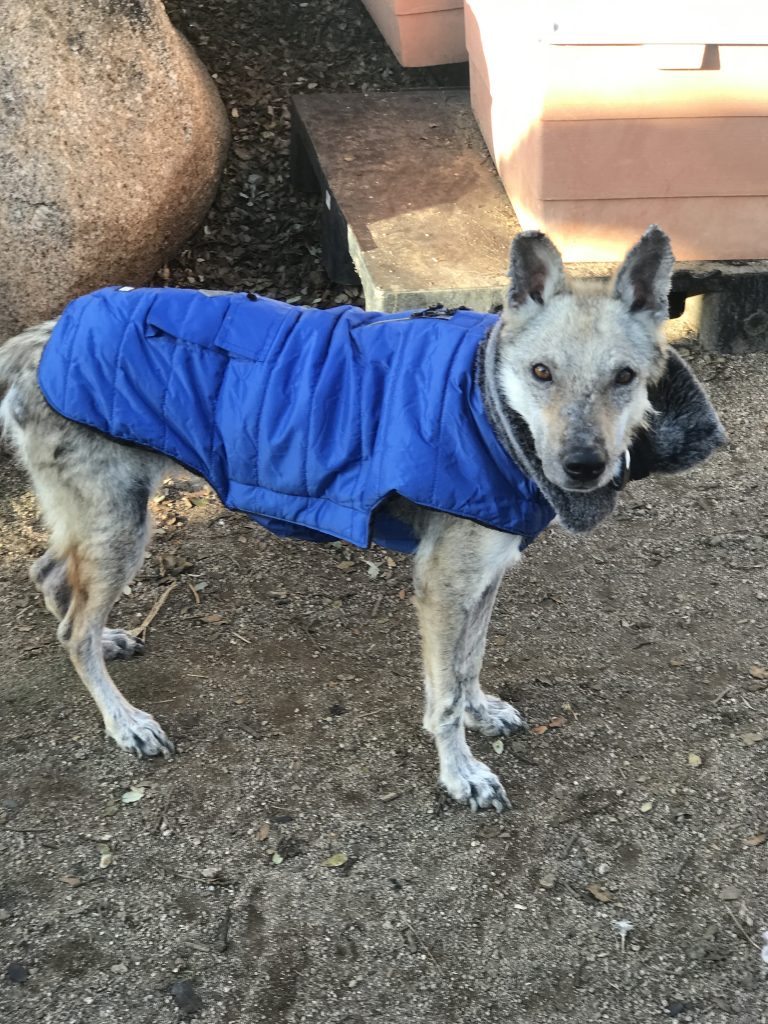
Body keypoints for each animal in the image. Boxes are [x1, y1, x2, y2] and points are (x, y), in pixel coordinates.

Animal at [0, 227, 725, 811]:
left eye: (625, 377)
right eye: (542, 372)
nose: (582, 467)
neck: (484, 403)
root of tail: (40, 337)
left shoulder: (484, 576)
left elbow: (469, 664)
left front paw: (483, 712)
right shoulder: (442, 586)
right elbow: (443, 696)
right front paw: (462, 775)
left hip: (98, 522)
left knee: (53, 580)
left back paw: (109, 639)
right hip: (120, 526)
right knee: (70, 630)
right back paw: (125, 721)